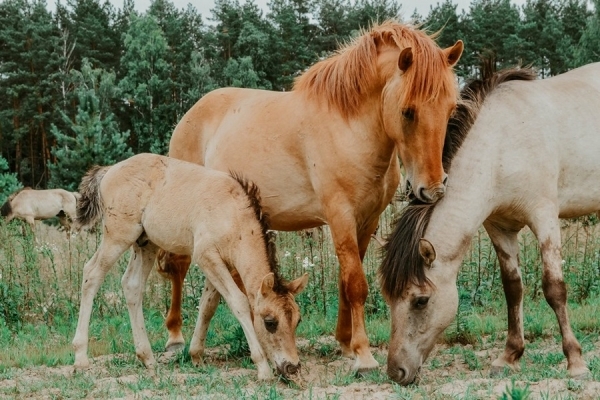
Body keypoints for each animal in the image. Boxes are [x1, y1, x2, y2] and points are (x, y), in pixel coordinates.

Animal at [73, 154, 310, 382]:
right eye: (270, 322)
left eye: (298, 320)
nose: (292, 366)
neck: (233, 214)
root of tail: (108, 170)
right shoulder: (206, 256)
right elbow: (239, 302)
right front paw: (263, 368)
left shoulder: (218, 263)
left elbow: (208, 305)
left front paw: (196, 355)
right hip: (119, 235)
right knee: (91, 273)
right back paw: (81, 357)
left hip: (146, 243)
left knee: (132, 285)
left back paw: (147, 358)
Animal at [162, 20, 462, 372]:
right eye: (408, 111)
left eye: (450, 109)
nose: (434, 188)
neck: (349, 128)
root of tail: (191, 113)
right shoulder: (340, 216)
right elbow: (356, 284)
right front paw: (363, 354)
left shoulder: (366, 221)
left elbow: (346, 282)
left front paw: (345, 343)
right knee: (179, 268)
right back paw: (175, 338)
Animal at [380, 60, 600, 384]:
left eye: (421, 300)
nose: (397, 371)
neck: (501, 145)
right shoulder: (499, 228)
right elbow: (513, 288)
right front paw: (508, 357)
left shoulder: (545, 218)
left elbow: (554, 289)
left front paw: (576, 361)